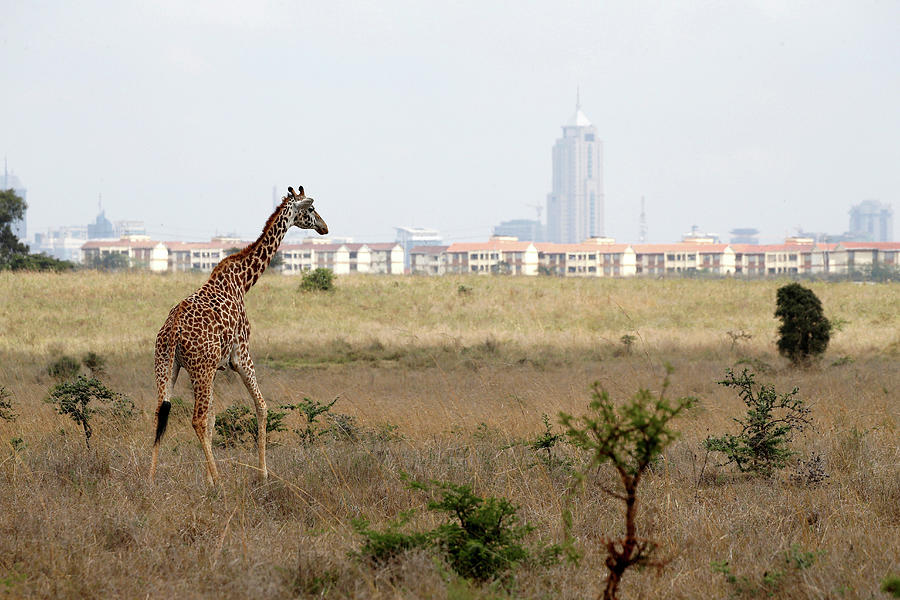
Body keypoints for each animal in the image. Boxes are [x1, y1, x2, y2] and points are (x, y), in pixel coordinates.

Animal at [149, 185, 328, 486]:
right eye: (312, 209)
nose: (325, 227)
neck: (243, 282)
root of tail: (172, 331)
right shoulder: (240, 354)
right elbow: (262, 406)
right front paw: (262, 475)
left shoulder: (218, 367)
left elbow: (213, 419)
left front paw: (207, 479)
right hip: (199, 367)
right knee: (196, 419)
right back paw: (220, 481)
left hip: (167, 366)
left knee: (160, 412)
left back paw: (149, 479)